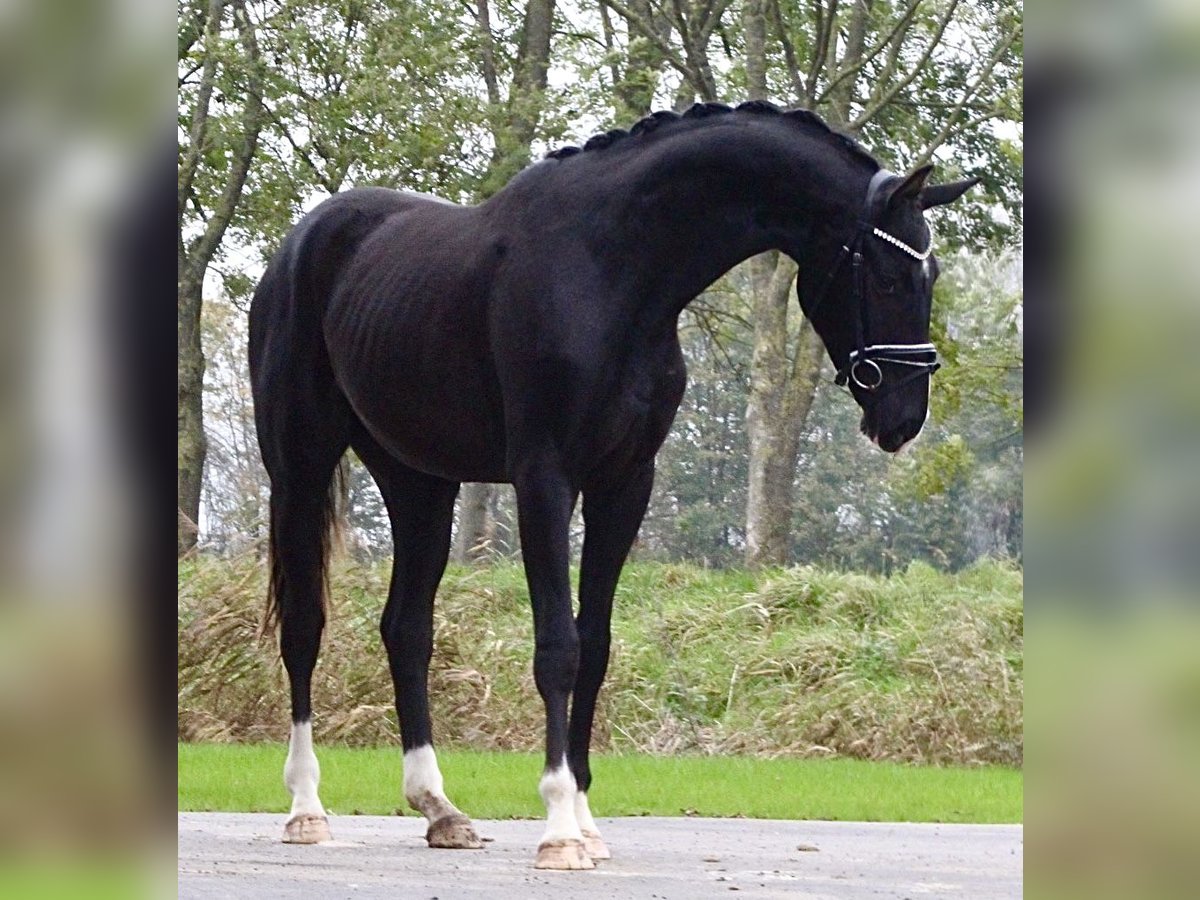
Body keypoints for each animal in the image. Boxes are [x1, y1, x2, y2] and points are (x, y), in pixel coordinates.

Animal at [250, 100, 974, 873]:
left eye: (930, 276)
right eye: (891, 277)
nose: (903, 417)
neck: (611, 270)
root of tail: (299, 245)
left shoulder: (625, 485)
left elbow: (594, 647)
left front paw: (587, 821)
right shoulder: (545, 480)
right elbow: (558, 648)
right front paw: (558, 829)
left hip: (419, 485)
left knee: (407, 630)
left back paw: (439, 808)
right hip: (299, 469)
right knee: (305, 628)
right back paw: (306, 809)